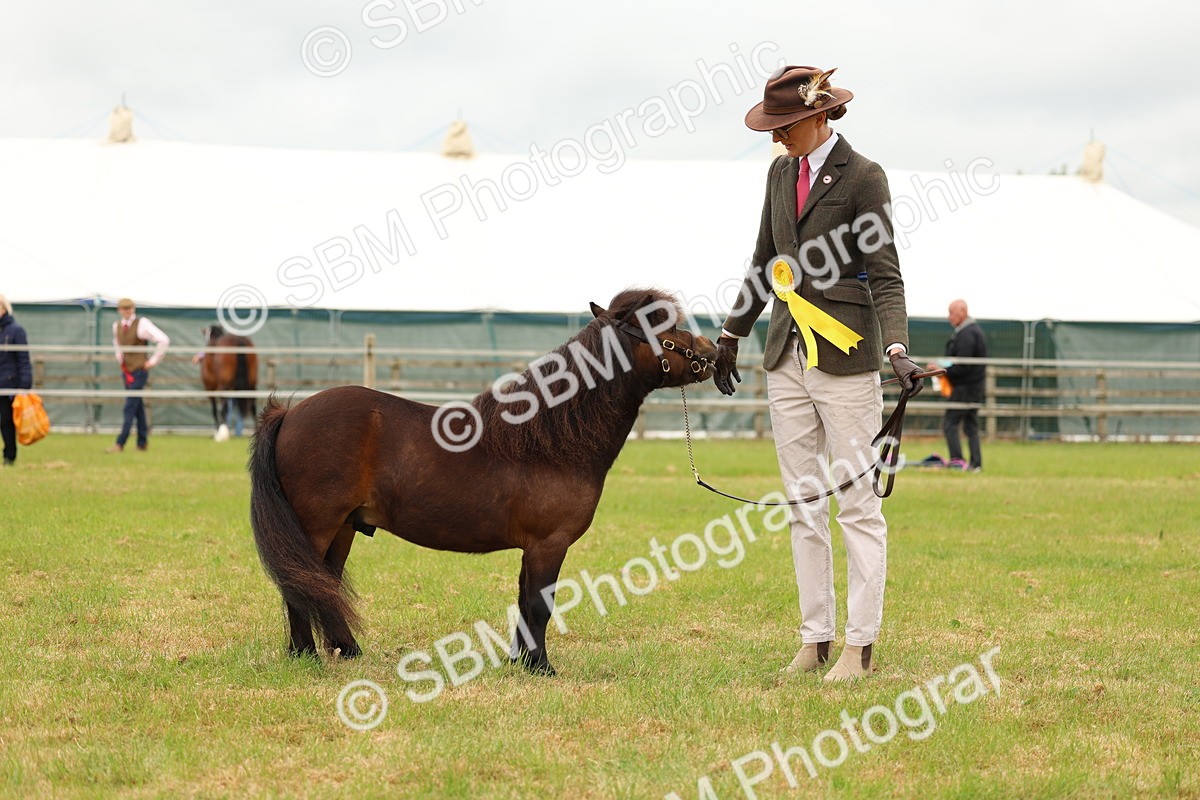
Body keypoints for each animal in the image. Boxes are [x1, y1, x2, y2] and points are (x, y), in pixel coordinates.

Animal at [248, 289, 717, 675]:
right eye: (663, 325)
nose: (712, 350)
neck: (551, 441)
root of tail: (290, 413)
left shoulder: (534, 547)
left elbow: (525, 602)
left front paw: (521, 662)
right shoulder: (549, 543)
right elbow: (539, 605)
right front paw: (541, 668)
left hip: (344, 527)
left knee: (322, 582)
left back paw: (345, 650)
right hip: (317, 525)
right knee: (300, 583)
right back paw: (306, 656)